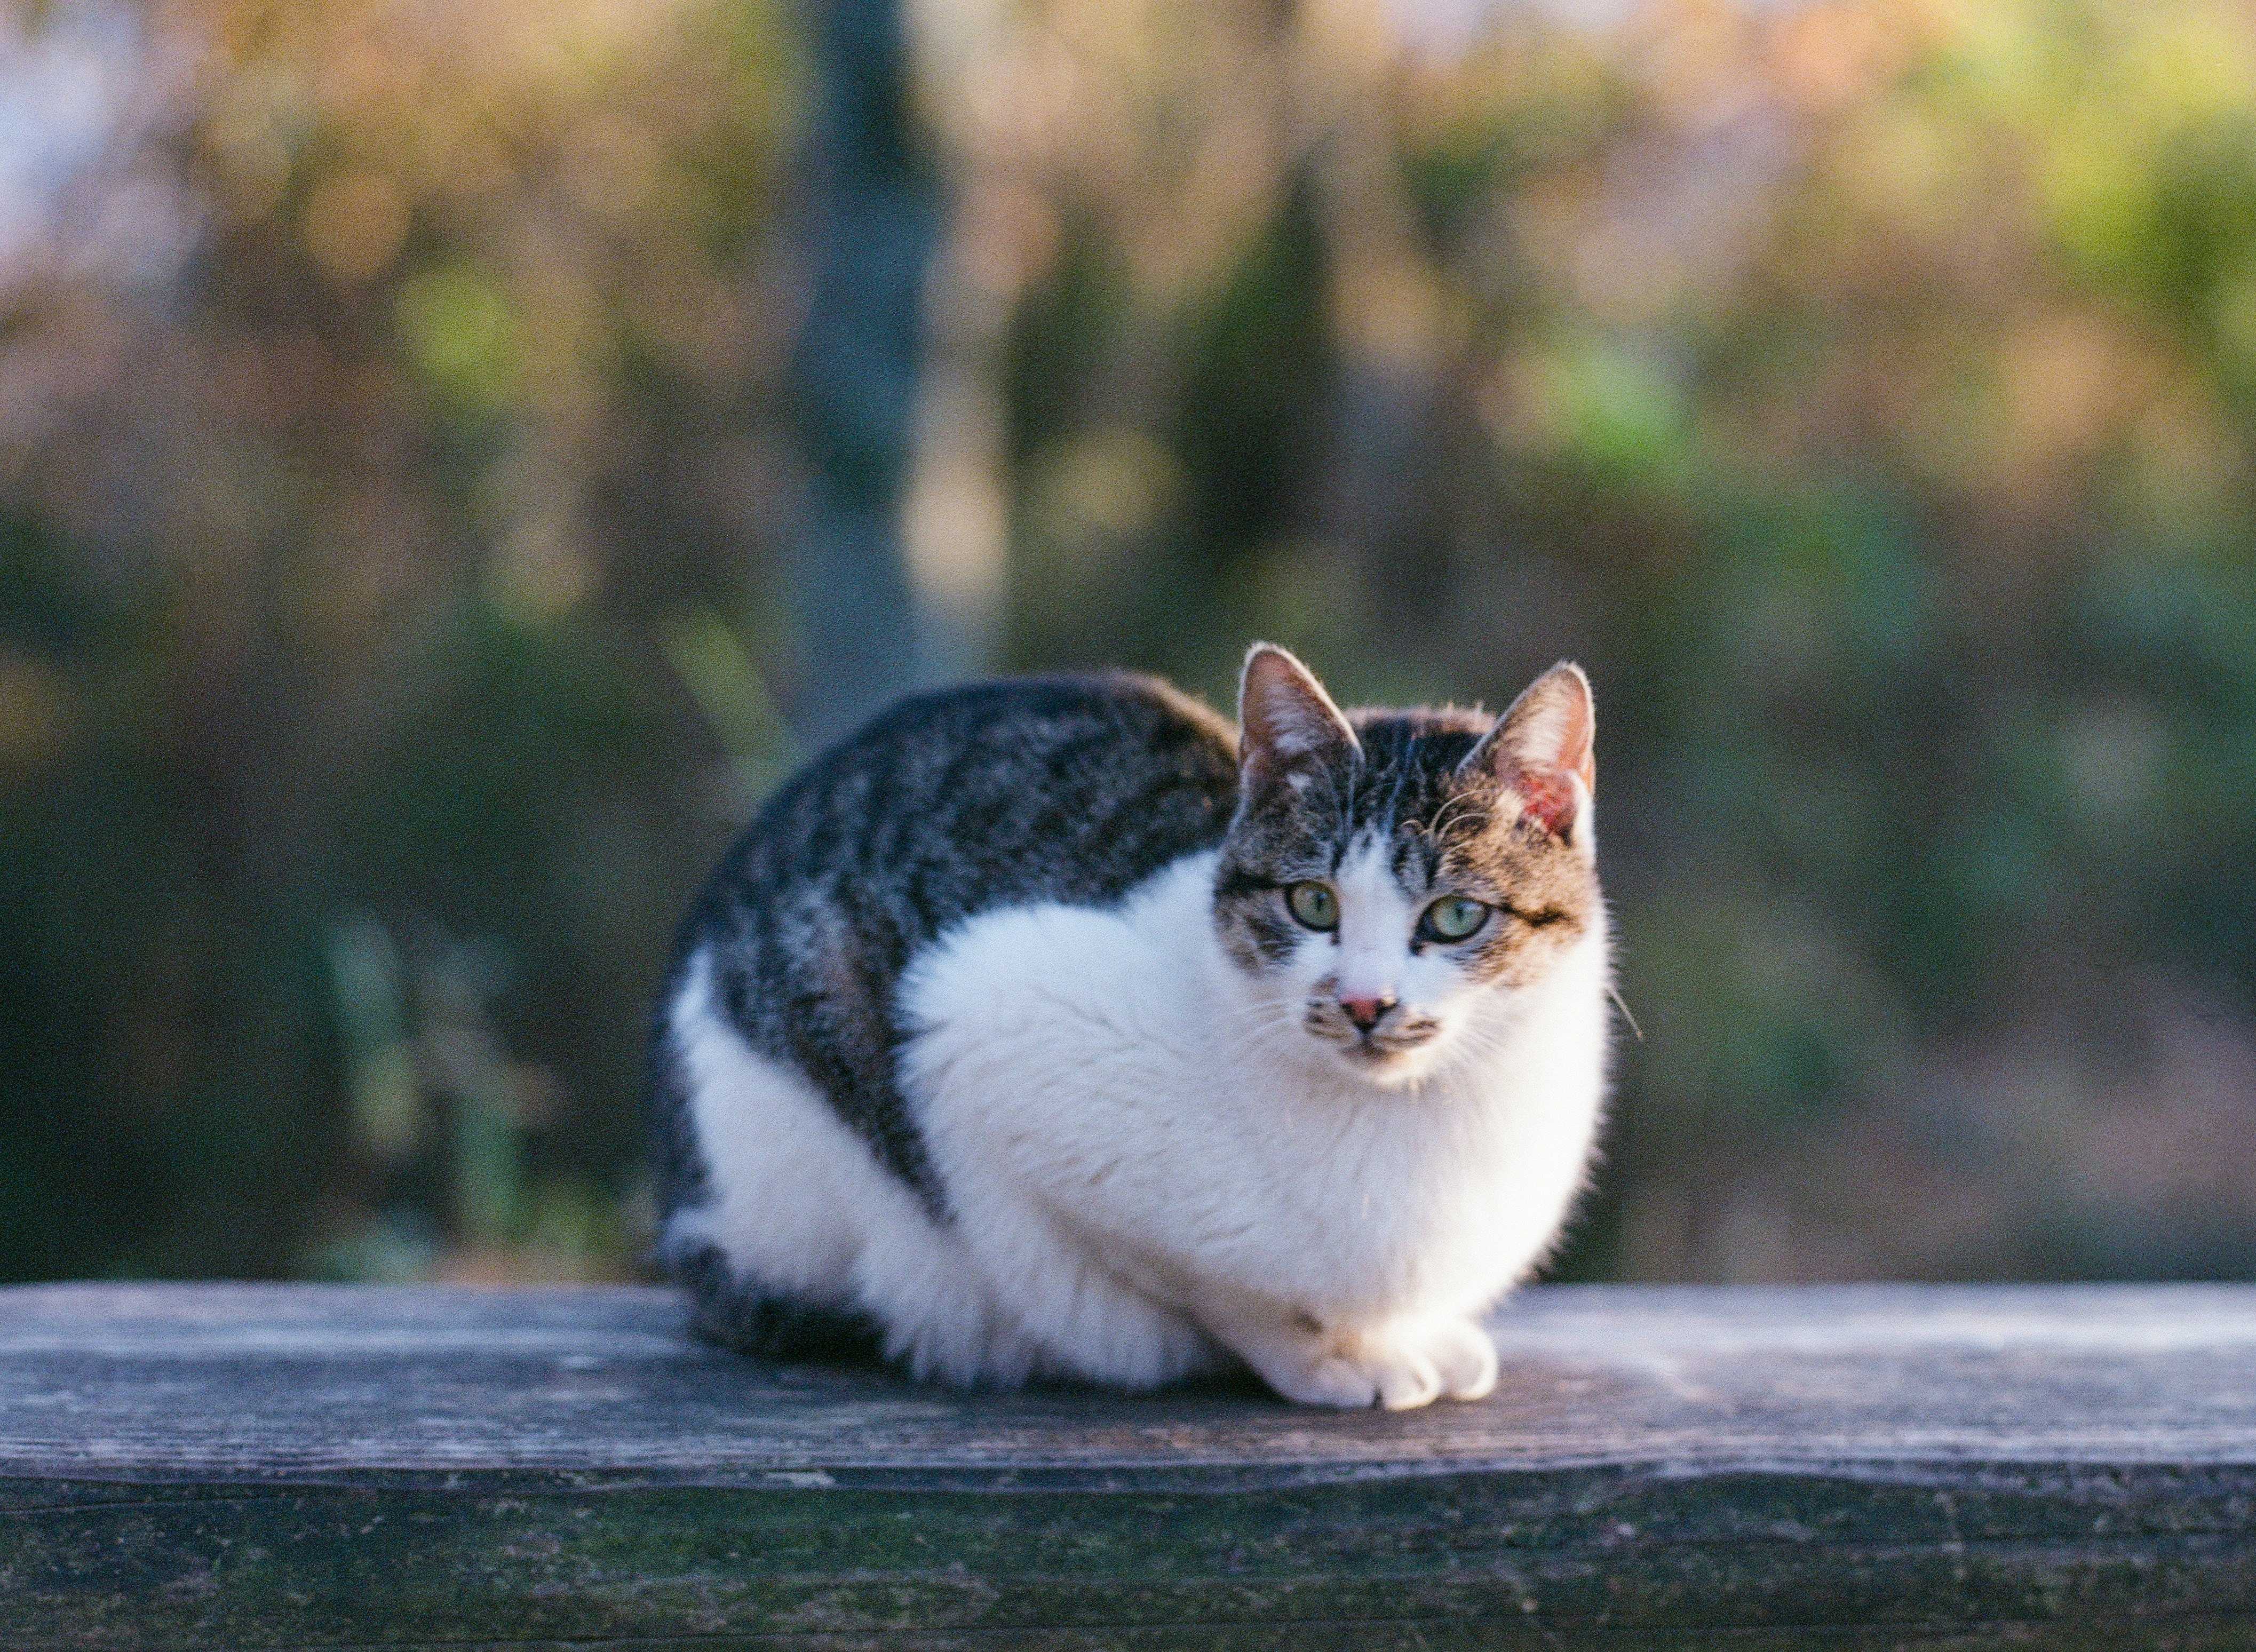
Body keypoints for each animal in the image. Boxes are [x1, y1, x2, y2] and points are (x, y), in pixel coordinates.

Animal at [645, 641, 1615, 1408]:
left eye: (1453, 918)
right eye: (1312, 904)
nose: (1365, 1004)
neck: (1413, 1122)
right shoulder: (982, 1020)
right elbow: (1210, 1285)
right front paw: (1326, 1356)